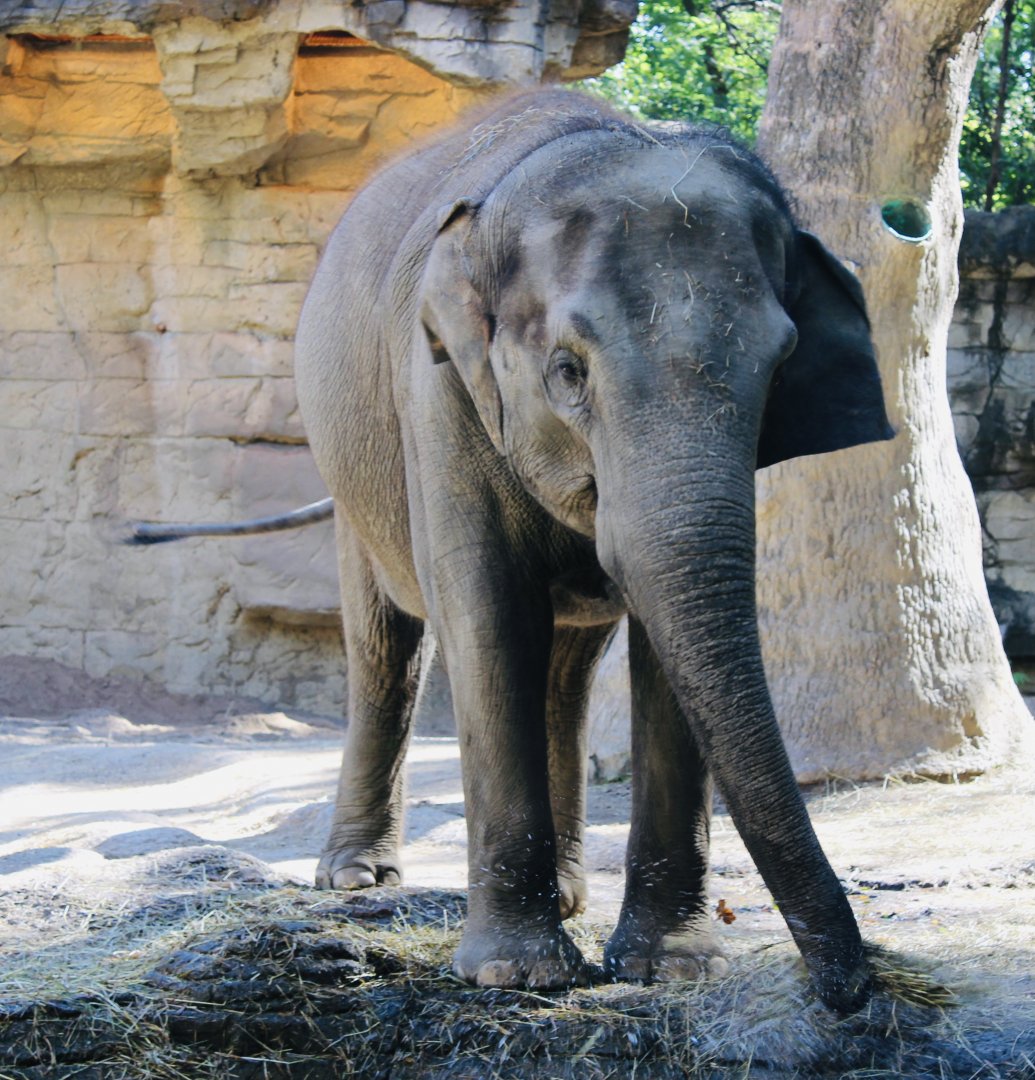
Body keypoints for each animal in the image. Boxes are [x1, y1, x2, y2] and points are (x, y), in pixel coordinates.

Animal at [289, 88, 894, 1014]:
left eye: (778, 367)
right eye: (567, 371)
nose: (849, 989)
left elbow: (665, 647)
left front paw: (670, 969)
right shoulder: (436, 388)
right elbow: (487, 614)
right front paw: (514, 975)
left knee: (566, 671)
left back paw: (571, 894)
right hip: (350, 471)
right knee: (386, 645)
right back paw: (356, 878)